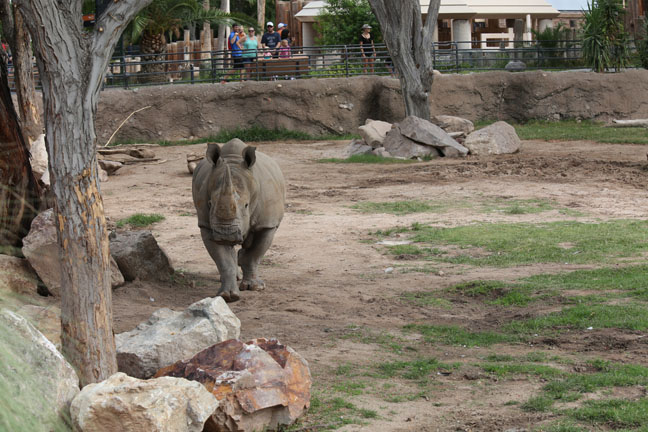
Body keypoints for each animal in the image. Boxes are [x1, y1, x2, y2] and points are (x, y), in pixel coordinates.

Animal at [192, 139, 285, 302]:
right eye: (210, 204)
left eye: (246, 205)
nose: (225, 233)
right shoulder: (207, 226)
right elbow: (223, 261)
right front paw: (228, 296)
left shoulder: (267, 224)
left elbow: (254, 255)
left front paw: (254, 288)